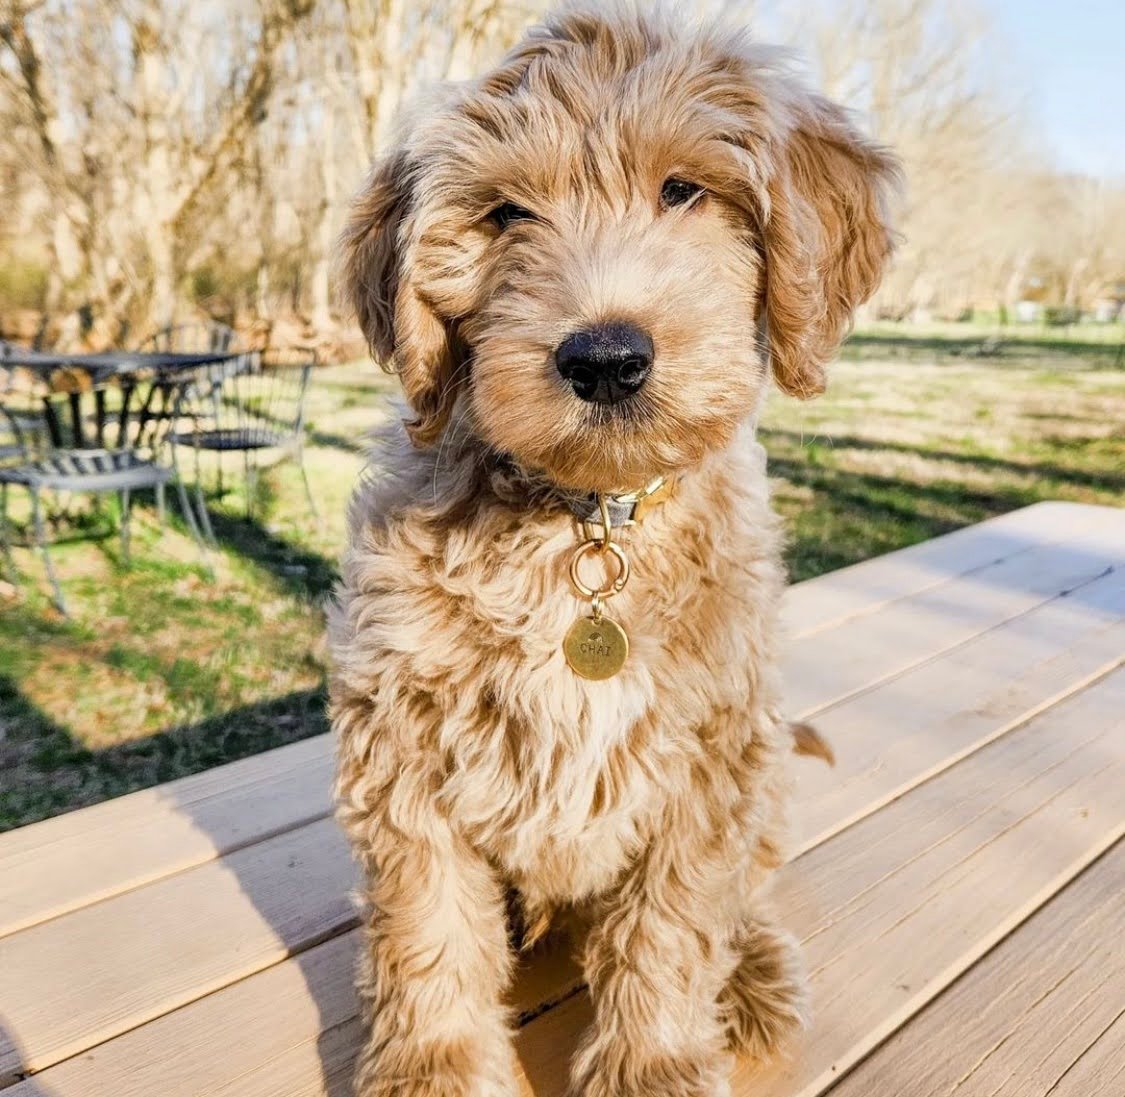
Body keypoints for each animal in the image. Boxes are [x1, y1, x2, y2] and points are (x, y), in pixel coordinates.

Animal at [330, 4, 895, 1093]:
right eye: (507, 214)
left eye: (684, 189)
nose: (604, 358)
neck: (588, 523)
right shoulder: (403, 738)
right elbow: (427, 926)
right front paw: (435, 1064)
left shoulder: (708, 754)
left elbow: (672, 926)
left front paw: (654, 1062)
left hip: (762, 770)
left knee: (745, 897)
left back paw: (752, 976)